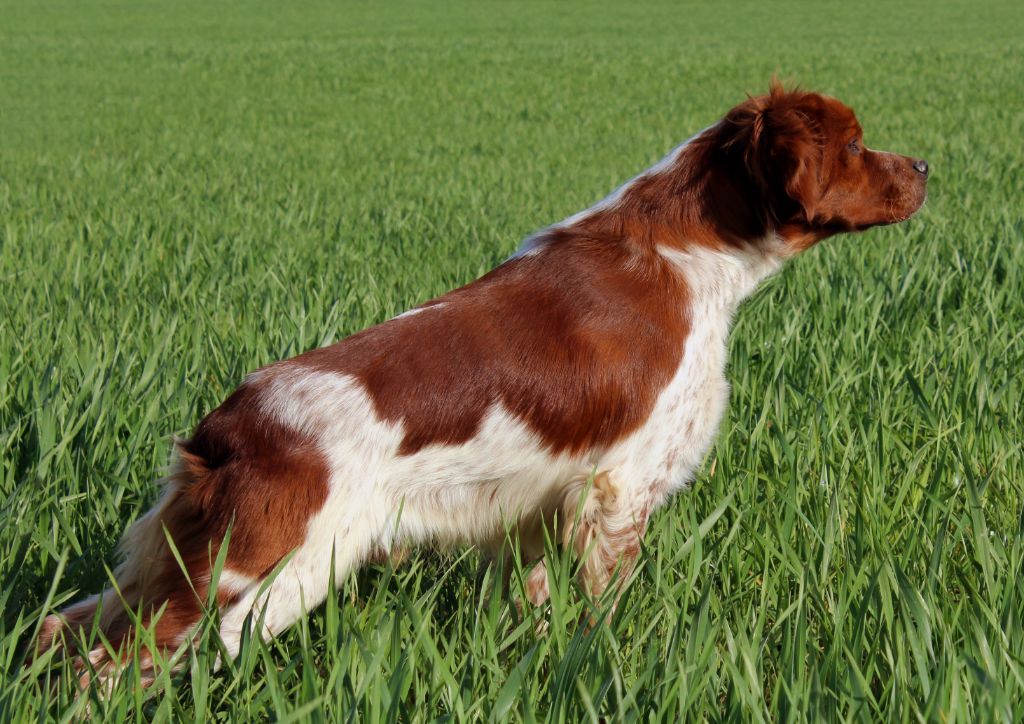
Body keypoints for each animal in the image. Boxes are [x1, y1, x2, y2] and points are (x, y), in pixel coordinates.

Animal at [36, 81, 929, 684]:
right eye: (855, 146)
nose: (925, 163)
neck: (689, 254)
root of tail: (228, 429)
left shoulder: (538, 511)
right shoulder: (621, 492)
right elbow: (602, 614)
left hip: (182, 567)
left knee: (63, 627)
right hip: (264, 574)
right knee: (123, 665)